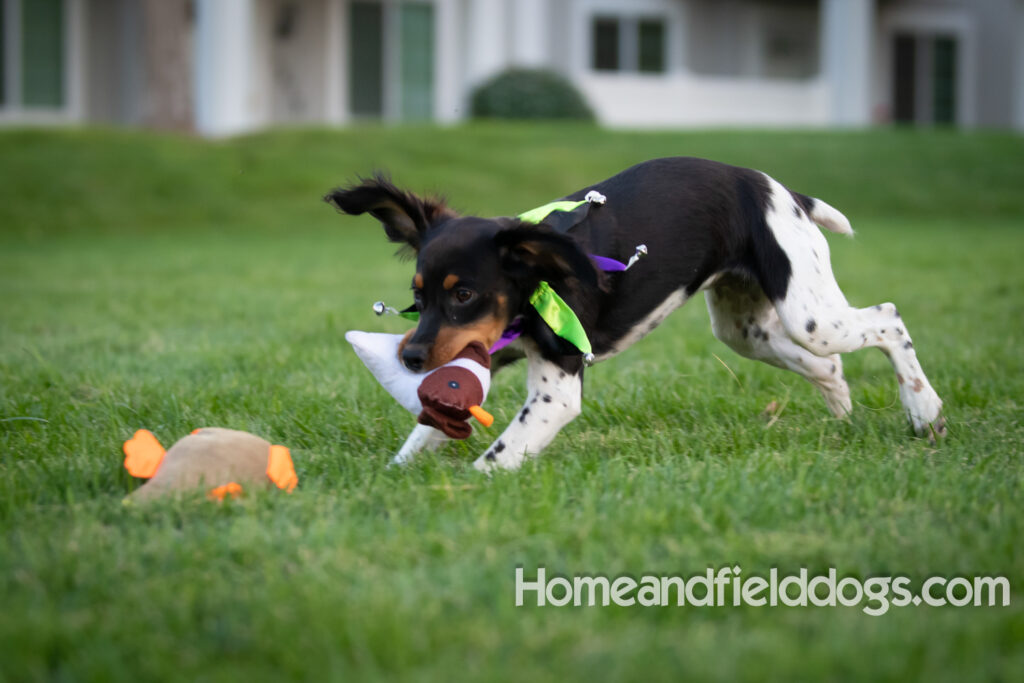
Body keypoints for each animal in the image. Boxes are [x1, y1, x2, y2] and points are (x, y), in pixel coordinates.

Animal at [325, 158, 942, 471]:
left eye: (463, 295)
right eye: (417, 296)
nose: (409, 356)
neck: (540, 273)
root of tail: (785, 191)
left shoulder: (557, 388)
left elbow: (497, 458)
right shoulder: (485, 354)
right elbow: (424, 432)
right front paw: (395, 477)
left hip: (808, 316)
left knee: (888, 318)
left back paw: (924, 410)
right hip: (748, 330)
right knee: (831, 365)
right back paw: (842, 412)